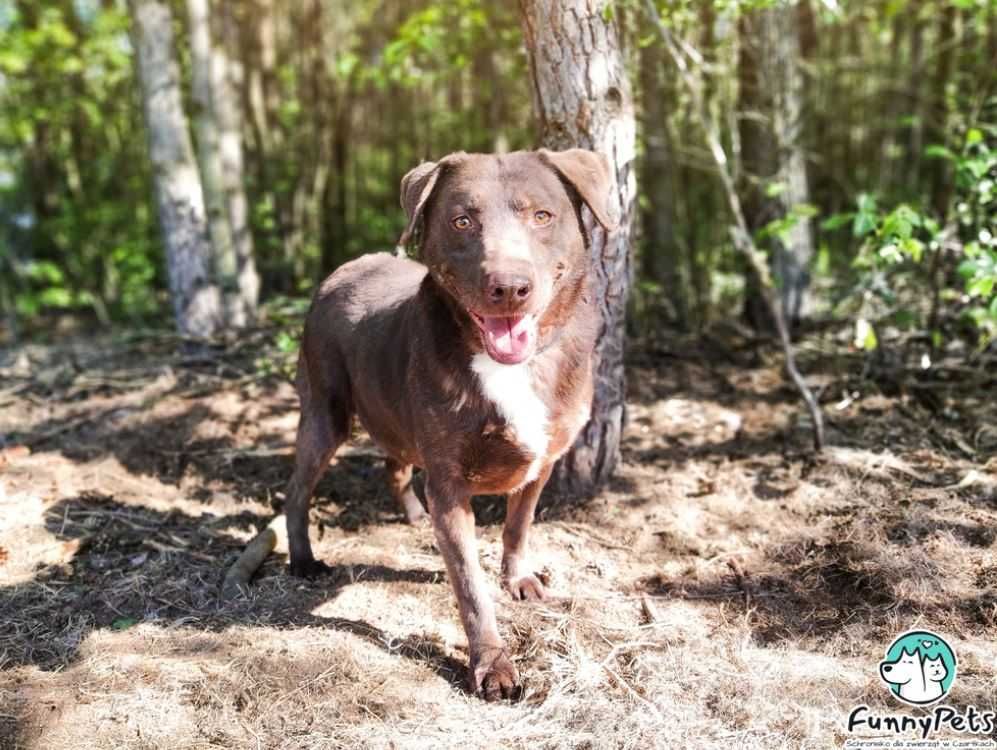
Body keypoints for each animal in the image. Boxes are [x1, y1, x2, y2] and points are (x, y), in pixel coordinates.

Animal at [284, 150, 616, 704]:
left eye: (542, 216)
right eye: (462, 221)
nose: (509, 288)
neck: (511, 366)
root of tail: (347, 266)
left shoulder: (543, 460)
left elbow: (518, 525)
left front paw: (519, 579)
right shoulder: (449, 484)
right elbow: (469, 584)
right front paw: (492, 664)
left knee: (395, 467)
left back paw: (414, 516)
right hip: (325, 414)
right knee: (296, 489)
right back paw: (303, 559)